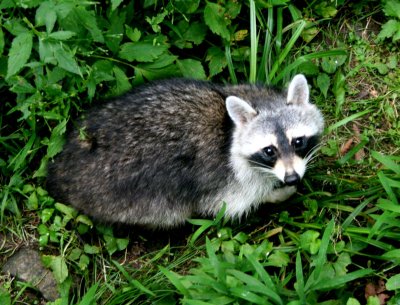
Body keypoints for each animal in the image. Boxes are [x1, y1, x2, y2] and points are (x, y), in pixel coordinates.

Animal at [45, 75, 324, 227]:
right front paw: (278, 193)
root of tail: (63, 166)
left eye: (298, 141)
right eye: (269, 150)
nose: (292, 178)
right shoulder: (225, 180)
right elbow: (231, 204)